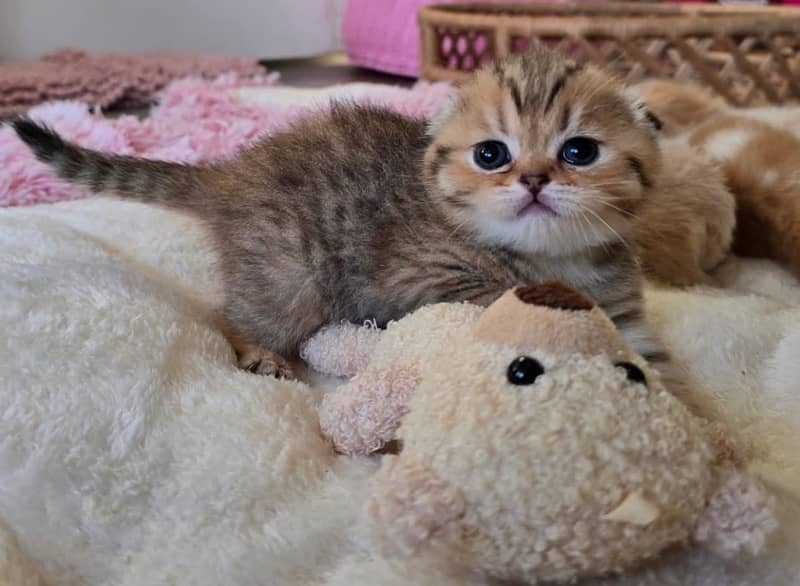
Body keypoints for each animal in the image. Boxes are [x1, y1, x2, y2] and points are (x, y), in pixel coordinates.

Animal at [15, 48, 672, 380]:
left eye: (579, 152)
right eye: (492, 155)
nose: (534, 179)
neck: (553, 255)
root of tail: (232, 173)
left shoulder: (625, 305)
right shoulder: (417, 274)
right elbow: (493, 294)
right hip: (291, 273)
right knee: (235, 316)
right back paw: (260, 351)